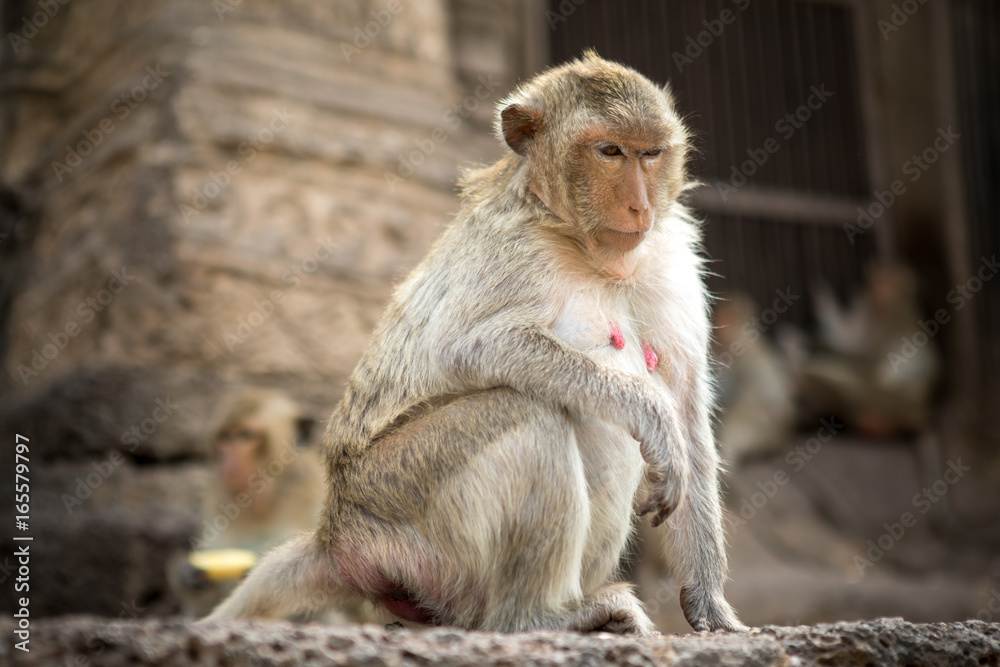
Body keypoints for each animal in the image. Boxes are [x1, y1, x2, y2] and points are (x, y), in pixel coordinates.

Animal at [205, 51, 747, 634]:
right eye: (609, 152)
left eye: (650, 154)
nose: (640, 207)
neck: (586, 247)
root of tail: (334, 534)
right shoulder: (515, 251)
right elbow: (474, 345)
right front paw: (650, 411)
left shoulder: (669, 259)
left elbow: (688, 411)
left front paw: (710, 605)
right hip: (393, 500)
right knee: (525, 412)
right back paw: (538, 618)